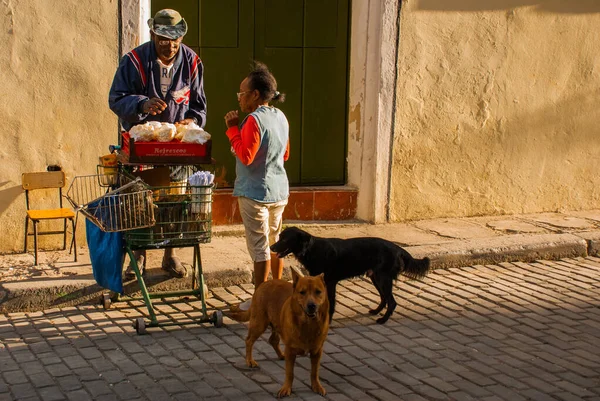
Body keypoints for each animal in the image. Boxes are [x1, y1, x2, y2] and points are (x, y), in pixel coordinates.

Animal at [272, 227, 432, 324]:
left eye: (285, 239)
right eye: (279, 237)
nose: (272, 247)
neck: (311, 249)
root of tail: (398, 248)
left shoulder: (330, 282)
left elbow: (330, 303)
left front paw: (327, 320)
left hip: (383, 278)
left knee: (392, 301)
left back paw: (383, 320)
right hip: (376, 277)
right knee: (384, 298)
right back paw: (376, 311)